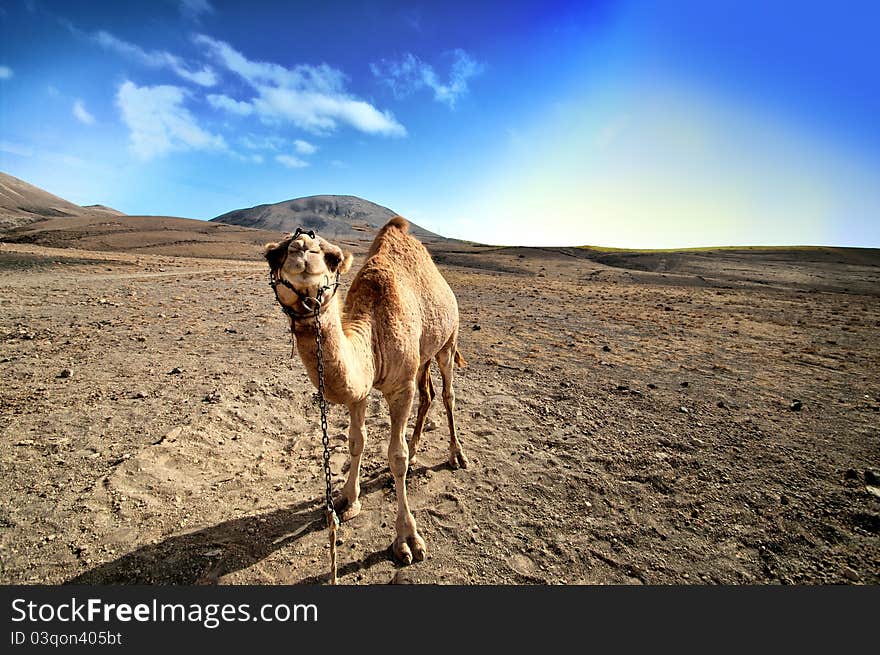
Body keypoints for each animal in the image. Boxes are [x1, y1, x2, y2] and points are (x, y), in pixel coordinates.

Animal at [262, 217, 468, 564]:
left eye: (333, 257)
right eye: (272, 255)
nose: (302, 247)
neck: (373, 335)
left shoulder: (400, 388)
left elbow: (396, 456)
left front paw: (407, 540)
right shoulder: (359, 390)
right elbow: (356, 441)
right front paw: (347, 499)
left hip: (448, 340)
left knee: (448, 394)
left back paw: (457, 455)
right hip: (423, 355)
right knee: (427, 394)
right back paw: (418, 448)